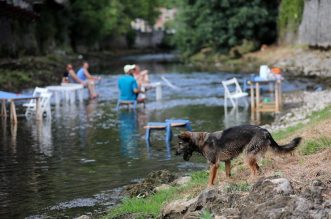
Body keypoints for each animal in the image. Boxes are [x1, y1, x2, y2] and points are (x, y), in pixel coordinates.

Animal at [176, 125, 304, 186]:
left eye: (180, 144)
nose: (175, 153)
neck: (201, 141)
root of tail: (265, 131)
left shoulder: (213, 164)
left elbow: (210, 178)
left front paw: (209, 186)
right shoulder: (227, 161)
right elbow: (227, 173)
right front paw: (229, 181)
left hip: (247, 155)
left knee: (254, 171)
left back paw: (251, 179)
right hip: (250, 155)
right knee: (258, 169)